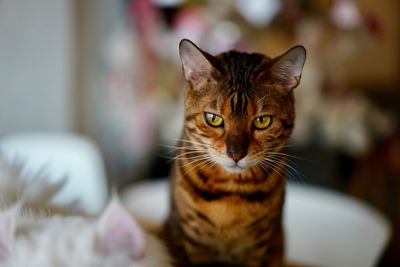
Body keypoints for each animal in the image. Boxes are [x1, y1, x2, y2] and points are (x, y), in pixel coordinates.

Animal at [163, 39, 306, 267]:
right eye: (213, 118)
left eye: (262, 121)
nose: (236, 154)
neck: (231, 192)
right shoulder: (188, 240)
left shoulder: (261, 247)